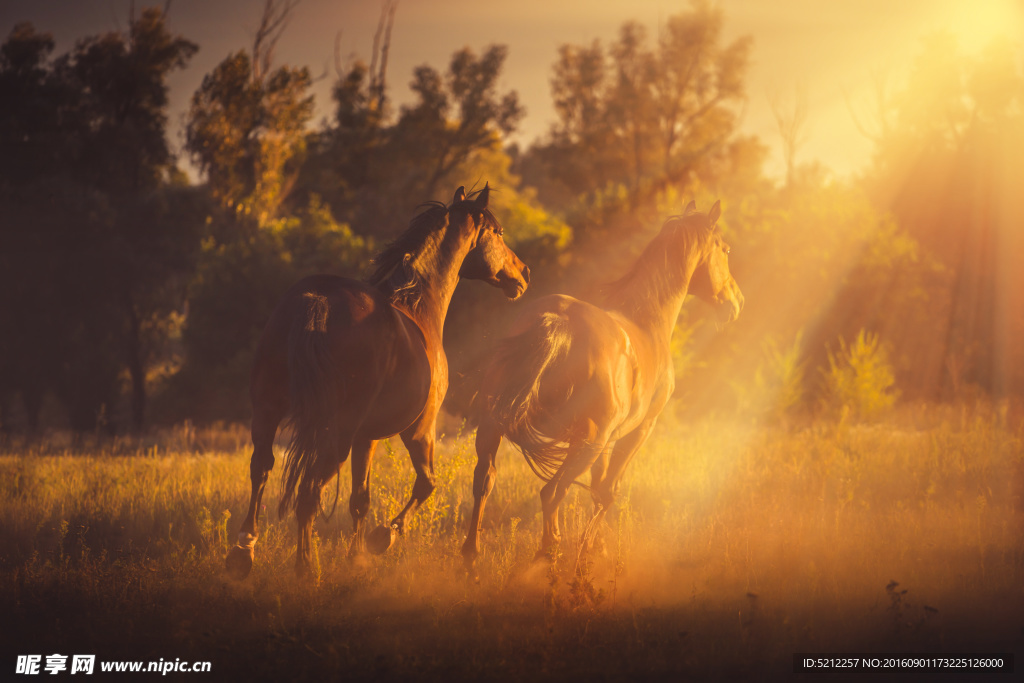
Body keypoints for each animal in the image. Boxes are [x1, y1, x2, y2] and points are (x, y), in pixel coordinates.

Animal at [224, 184, 528, 581]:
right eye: (499, 233)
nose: (523, 273)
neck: (417, 306)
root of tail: (317, 299)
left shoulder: (365, 438)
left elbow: (360, 499)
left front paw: (357, 558)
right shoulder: (420, 430)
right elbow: (426, 484)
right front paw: (383, 538)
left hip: (268, 413)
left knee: (261, 470)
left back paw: (243, 553)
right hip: (336, 434)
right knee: (308, 493)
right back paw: (306, 567)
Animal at [464, 201, 745, 573]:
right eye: (725, 249)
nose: (736, 303)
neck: (647, 321)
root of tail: (558, 321)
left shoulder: (611, 438)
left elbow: (598, 489)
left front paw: (595, 549)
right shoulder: (638, 431)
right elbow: (608, 491)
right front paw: (589, 555)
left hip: (493, 426)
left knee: (484, 480)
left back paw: (471, 559)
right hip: (586, 444)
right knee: (552, 492)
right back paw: (548, 558)